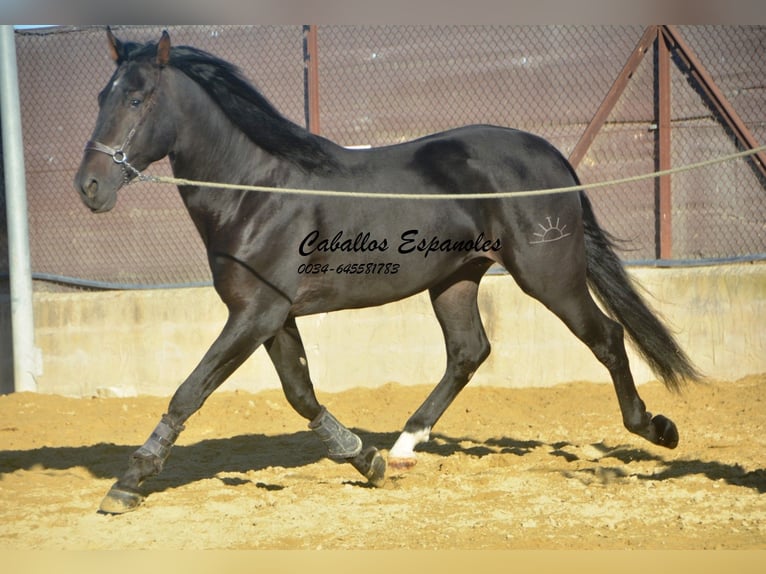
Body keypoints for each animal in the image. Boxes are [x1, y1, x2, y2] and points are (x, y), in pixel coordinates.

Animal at [73, 29, 704, 516]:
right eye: (101, 95)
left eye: (139, 98)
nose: (89, 187)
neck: (256, 191)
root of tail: (550, 157)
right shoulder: (269, 314)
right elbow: (300, 394)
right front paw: (366, 459)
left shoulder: (255, 314)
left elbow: (190, 392)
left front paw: (127, 483)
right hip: (455, 280)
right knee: (468, 352)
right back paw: (402, 446)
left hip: (548, 274)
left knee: (606, 337)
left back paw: (656, 428)